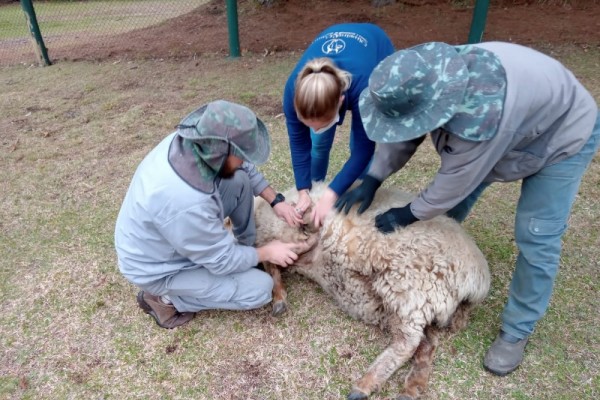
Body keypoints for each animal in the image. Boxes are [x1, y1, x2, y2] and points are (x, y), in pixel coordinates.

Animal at [253, 182, 492, 400]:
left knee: (408, 343)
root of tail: (477, 281)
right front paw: (279, 296)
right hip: (416, 302)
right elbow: (272, 263)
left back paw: (364, 385)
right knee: (426, 343)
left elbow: (278, 257)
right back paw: (412, 386)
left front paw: (279, 298)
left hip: (408, 285)